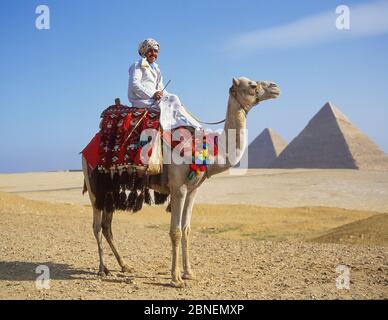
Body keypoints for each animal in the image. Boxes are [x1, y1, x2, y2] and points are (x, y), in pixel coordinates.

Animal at [82, 77, 278, 288]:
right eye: (252, 84)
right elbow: (175, 231)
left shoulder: (192, 190)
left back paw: (124, 265)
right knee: (96, 226)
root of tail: (86, 147)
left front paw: (189, 272)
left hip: (111, 188)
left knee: (106, 226)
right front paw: (176, 278)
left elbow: (186, 229)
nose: (275, 87)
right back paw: (102, 269)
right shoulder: (179, 189)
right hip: (95, 186)